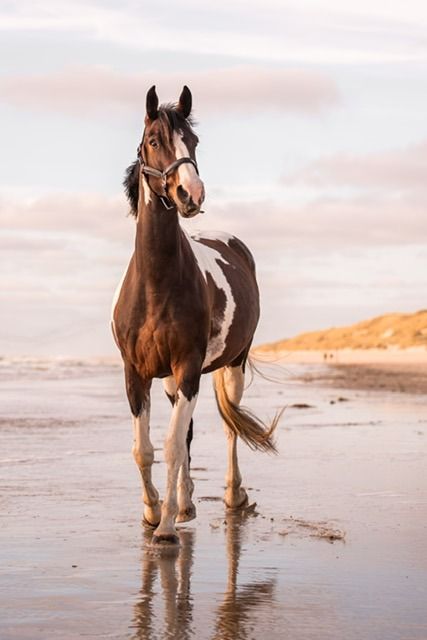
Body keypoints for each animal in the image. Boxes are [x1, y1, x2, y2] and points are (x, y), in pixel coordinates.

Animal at [112, 85, 278, 545]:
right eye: (154, 140)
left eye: (195, 142)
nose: (191, 194)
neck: (157, 284)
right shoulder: (136, 372)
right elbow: (146, 448)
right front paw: (154, 510)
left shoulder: (188, 367)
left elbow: (170, 446)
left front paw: (166, 527)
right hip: (171, 379)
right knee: (185, 435)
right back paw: (185, 502)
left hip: (232, 365)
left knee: (229, 426)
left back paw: (233, 495)